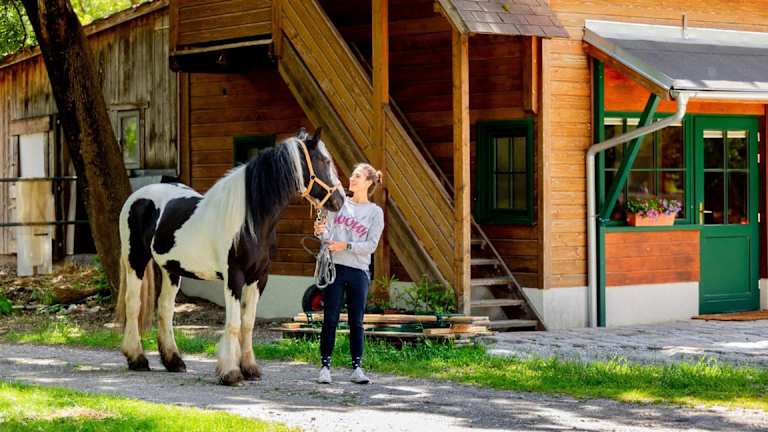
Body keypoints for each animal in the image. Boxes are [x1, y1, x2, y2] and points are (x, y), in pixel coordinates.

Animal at [115, 127, 344, 386]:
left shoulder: (259, 277)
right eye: (324, 161)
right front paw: (230, 372)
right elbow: (234, 323)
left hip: (171, 269)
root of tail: (137, 197)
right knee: (133, 305)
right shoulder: (234, 276)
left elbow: (248, 323)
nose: (340, 200)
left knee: (165, 309)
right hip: (135, 260)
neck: (250, 220)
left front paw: (250, 368)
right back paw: (137, 358)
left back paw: (174, 361)